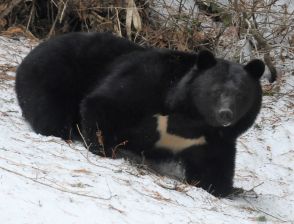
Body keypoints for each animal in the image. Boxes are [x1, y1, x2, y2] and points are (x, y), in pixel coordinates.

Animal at [15, 32, 264, 197]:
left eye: (240, 95)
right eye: (215, 92)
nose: (225, 115)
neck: (192, 119)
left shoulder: (211, 140)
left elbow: (215, 165)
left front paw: (223, 188)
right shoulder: (149, 82)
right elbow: (105, 102)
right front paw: (102, 148)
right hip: (53, 76)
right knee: (49, 112)